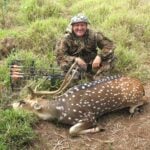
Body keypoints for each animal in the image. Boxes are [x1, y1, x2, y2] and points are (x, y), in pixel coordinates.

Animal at [11, 63, 148, 137]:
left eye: (22, 102)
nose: (11, 104)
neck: (60, 110)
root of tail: (140, 84)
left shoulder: (89, 116)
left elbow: (71, 130)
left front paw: (98, 128)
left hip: (132, 96)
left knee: (145, 99)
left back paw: (133, 109)